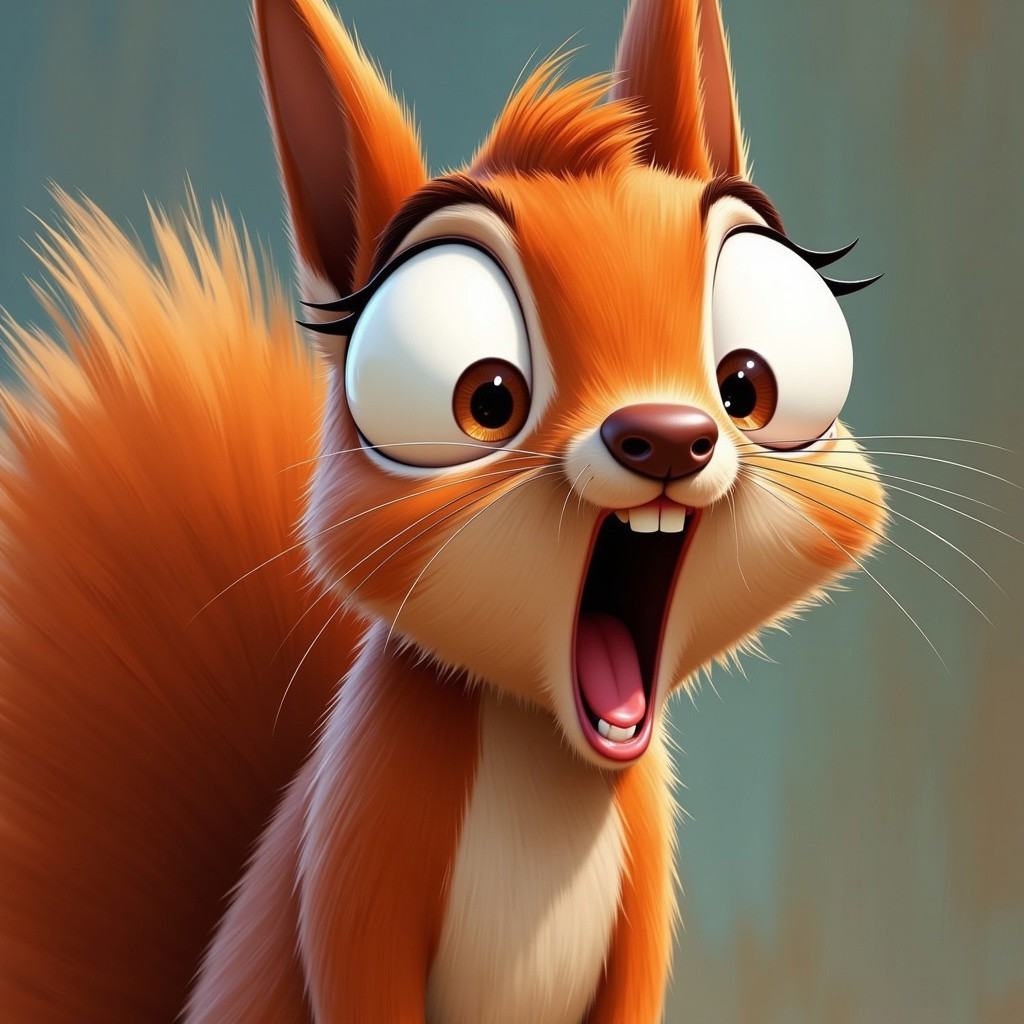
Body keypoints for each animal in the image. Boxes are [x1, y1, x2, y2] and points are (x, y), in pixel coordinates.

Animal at [0, 1, 886, 1021]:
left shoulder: (642, 903)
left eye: (747, 382)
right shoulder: (359, 857)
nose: (667, 436)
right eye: (485, 396)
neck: (546, 748)